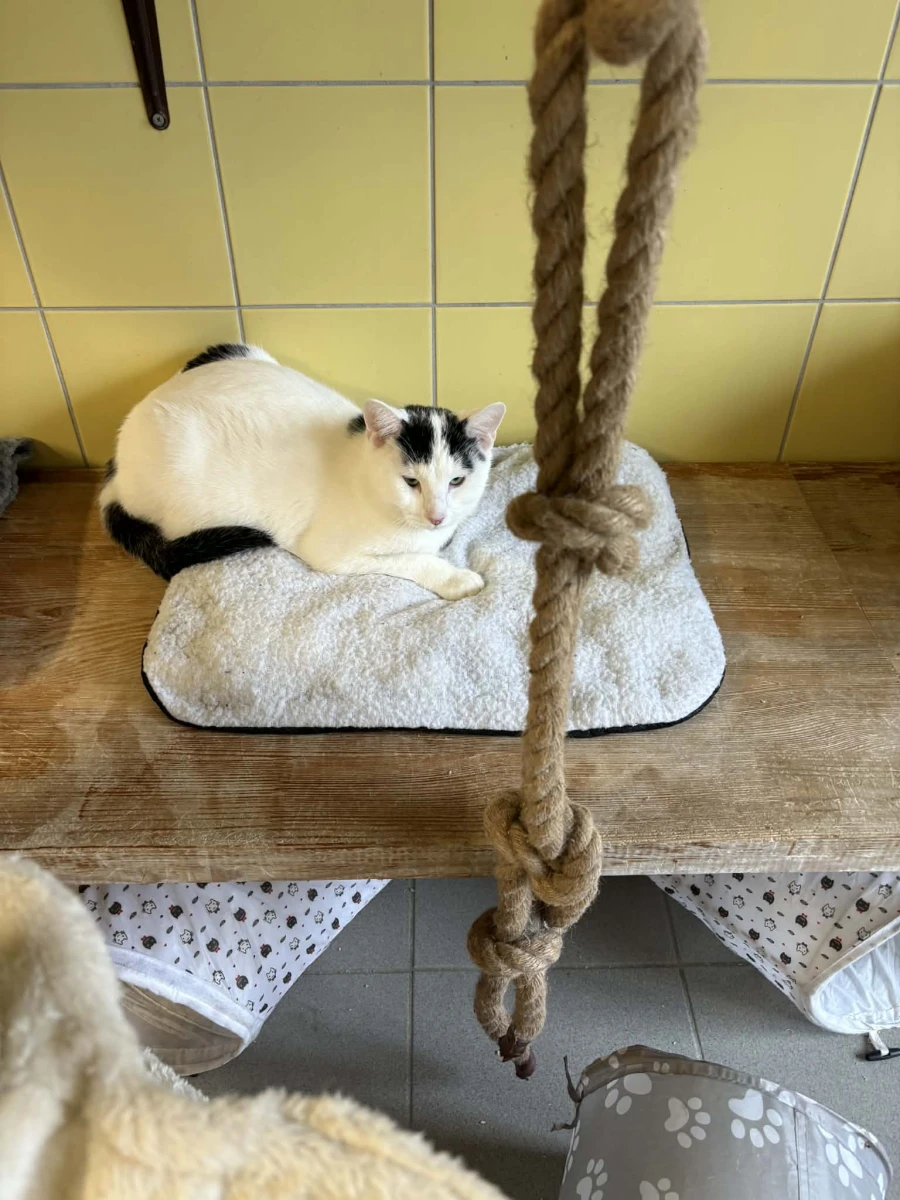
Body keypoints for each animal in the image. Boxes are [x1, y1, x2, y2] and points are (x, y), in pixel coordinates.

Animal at [100, 343, 506, 600]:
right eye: (411, 482)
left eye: (456, 481)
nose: (437, 517)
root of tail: (116, 467)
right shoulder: (331, 552)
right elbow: (412, 559)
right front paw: (454, 578)